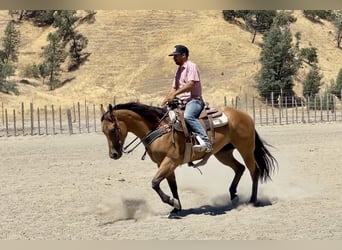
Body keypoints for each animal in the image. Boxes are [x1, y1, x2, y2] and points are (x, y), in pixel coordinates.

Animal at [100, 100, 276, 216]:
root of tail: (245, 116)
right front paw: (176, 207)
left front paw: (172, 202)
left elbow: (155, 183)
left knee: (254, 171)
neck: (158, 128)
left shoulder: (170, 161)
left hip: (246, 149)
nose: (113, 154)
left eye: (114, 128)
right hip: (223, 153)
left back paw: (253, 200)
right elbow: (172, 186)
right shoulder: (163, 164)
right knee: (239, 168)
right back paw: (233, 194)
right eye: (103, 131)